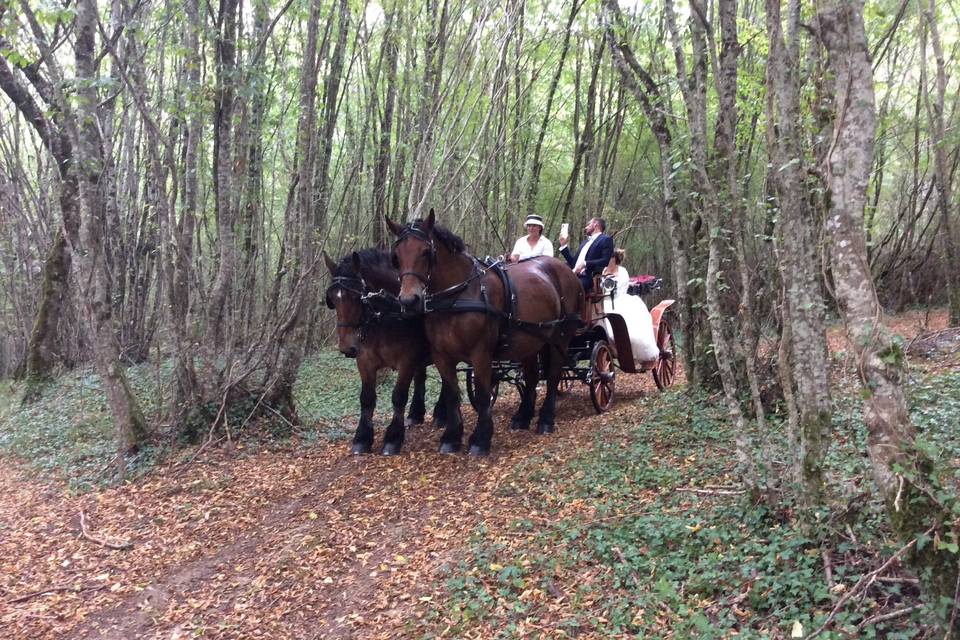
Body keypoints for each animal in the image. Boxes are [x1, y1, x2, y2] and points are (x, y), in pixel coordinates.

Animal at [318, 248, 446, 452]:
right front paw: (362, 438)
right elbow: (367, 398)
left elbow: (398, 396)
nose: (347, 347)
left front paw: (393, 438)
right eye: (332, 299)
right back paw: (415, 414)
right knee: (422, 377)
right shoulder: (364, 360)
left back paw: (441, 414)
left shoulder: (406, 362)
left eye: (357, 297)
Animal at [386, 210, 580, 456]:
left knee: (554, 375)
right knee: (532, 375)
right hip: (530, 341)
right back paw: (522, 417)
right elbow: (452, 393)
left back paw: (546, 420)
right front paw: (451, 438)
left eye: (426, 252)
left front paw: (480, 439)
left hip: (560, 338)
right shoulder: (442, 356)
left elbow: (482, 393)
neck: (458, 295)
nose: (409, 300)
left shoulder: (481, 354)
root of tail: (565, 270)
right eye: (396, 256)